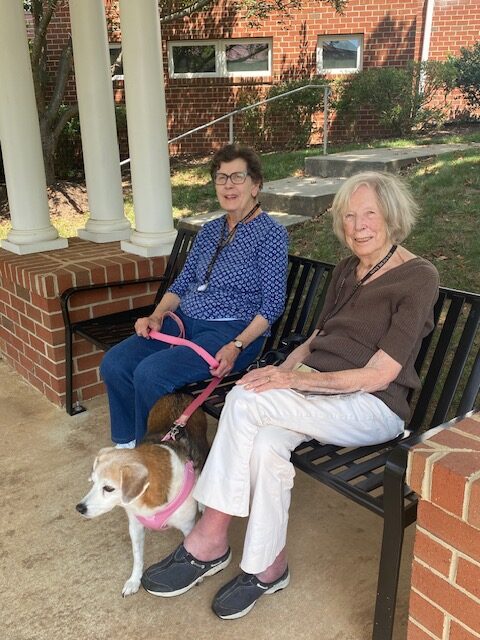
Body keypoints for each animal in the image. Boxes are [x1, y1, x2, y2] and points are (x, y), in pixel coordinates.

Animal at [76, 392, 209, 596]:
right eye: (93, 481)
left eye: (108, 488)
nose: (79, 508)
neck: (146, 500)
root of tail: (178, 392)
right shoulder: (135, 527)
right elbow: (137, 558)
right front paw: (134, 580)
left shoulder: (188, 527)